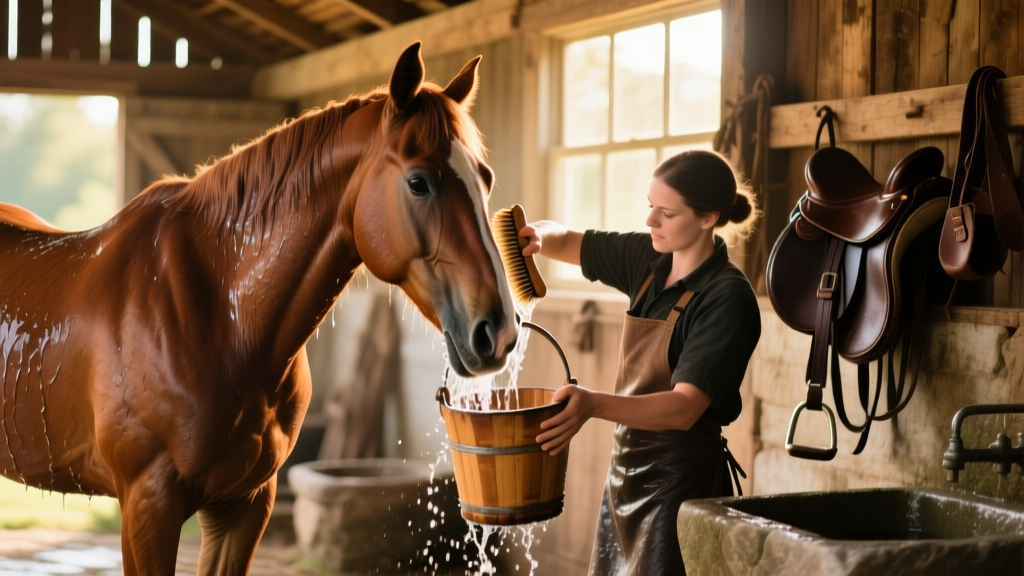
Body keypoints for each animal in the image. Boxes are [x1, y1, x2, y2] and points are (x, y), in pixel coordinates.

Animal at [0, 42, 518, 575]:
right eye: (418, 182)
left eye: (485, 179)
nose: (497, 330)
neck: (219, 316)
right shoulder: (148, 506)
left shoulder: (245, 504)